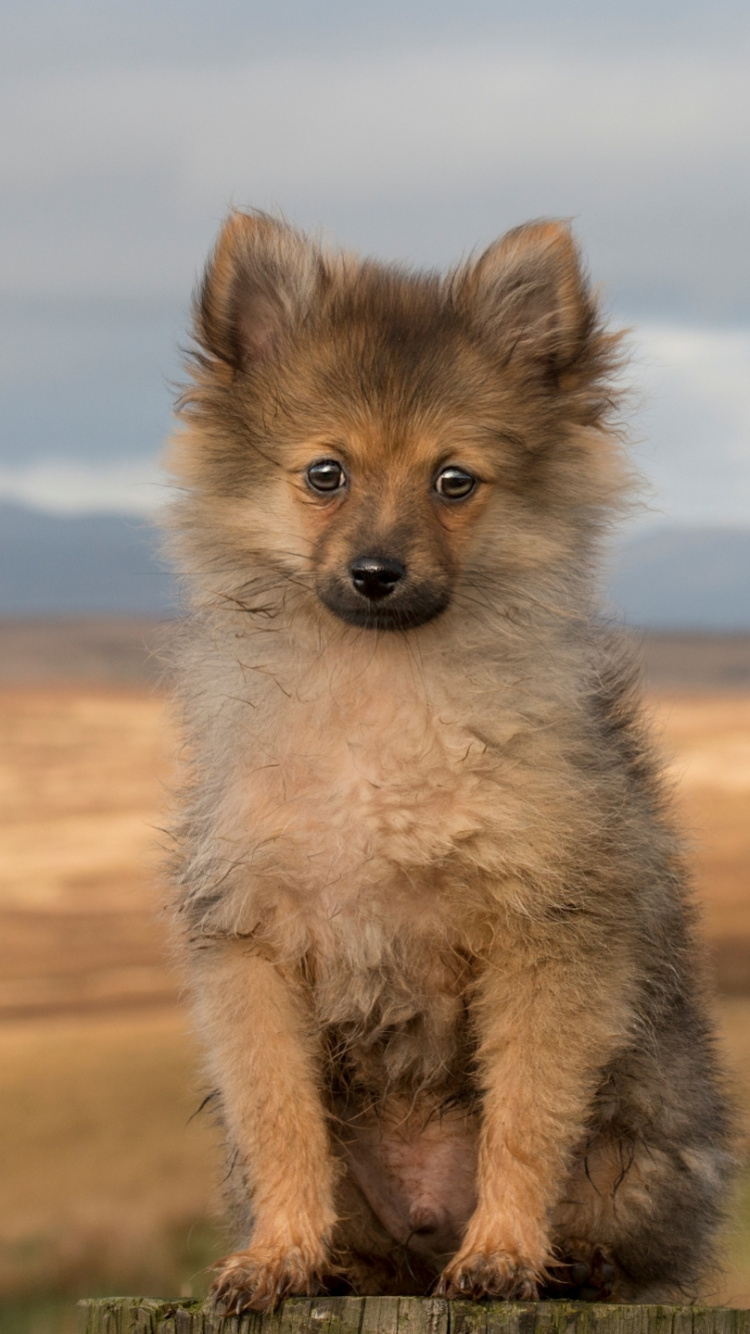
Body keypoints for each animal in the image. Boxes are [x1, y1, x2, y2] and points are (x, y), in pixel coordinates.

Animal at [164, 213, 731, 1307]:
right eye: (327, 474)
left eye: (453, 481)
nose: (376, 572)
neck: (381, 704)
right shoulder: (252, 946)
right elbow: (280, 1122)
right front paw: (278, 1255)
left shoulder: (546, 935)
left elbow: (525, 1118)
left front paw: (503, 1251)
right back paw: (340, 1263)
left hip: (642, 1139)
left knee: (623, 1232)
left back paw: (569, 1262)